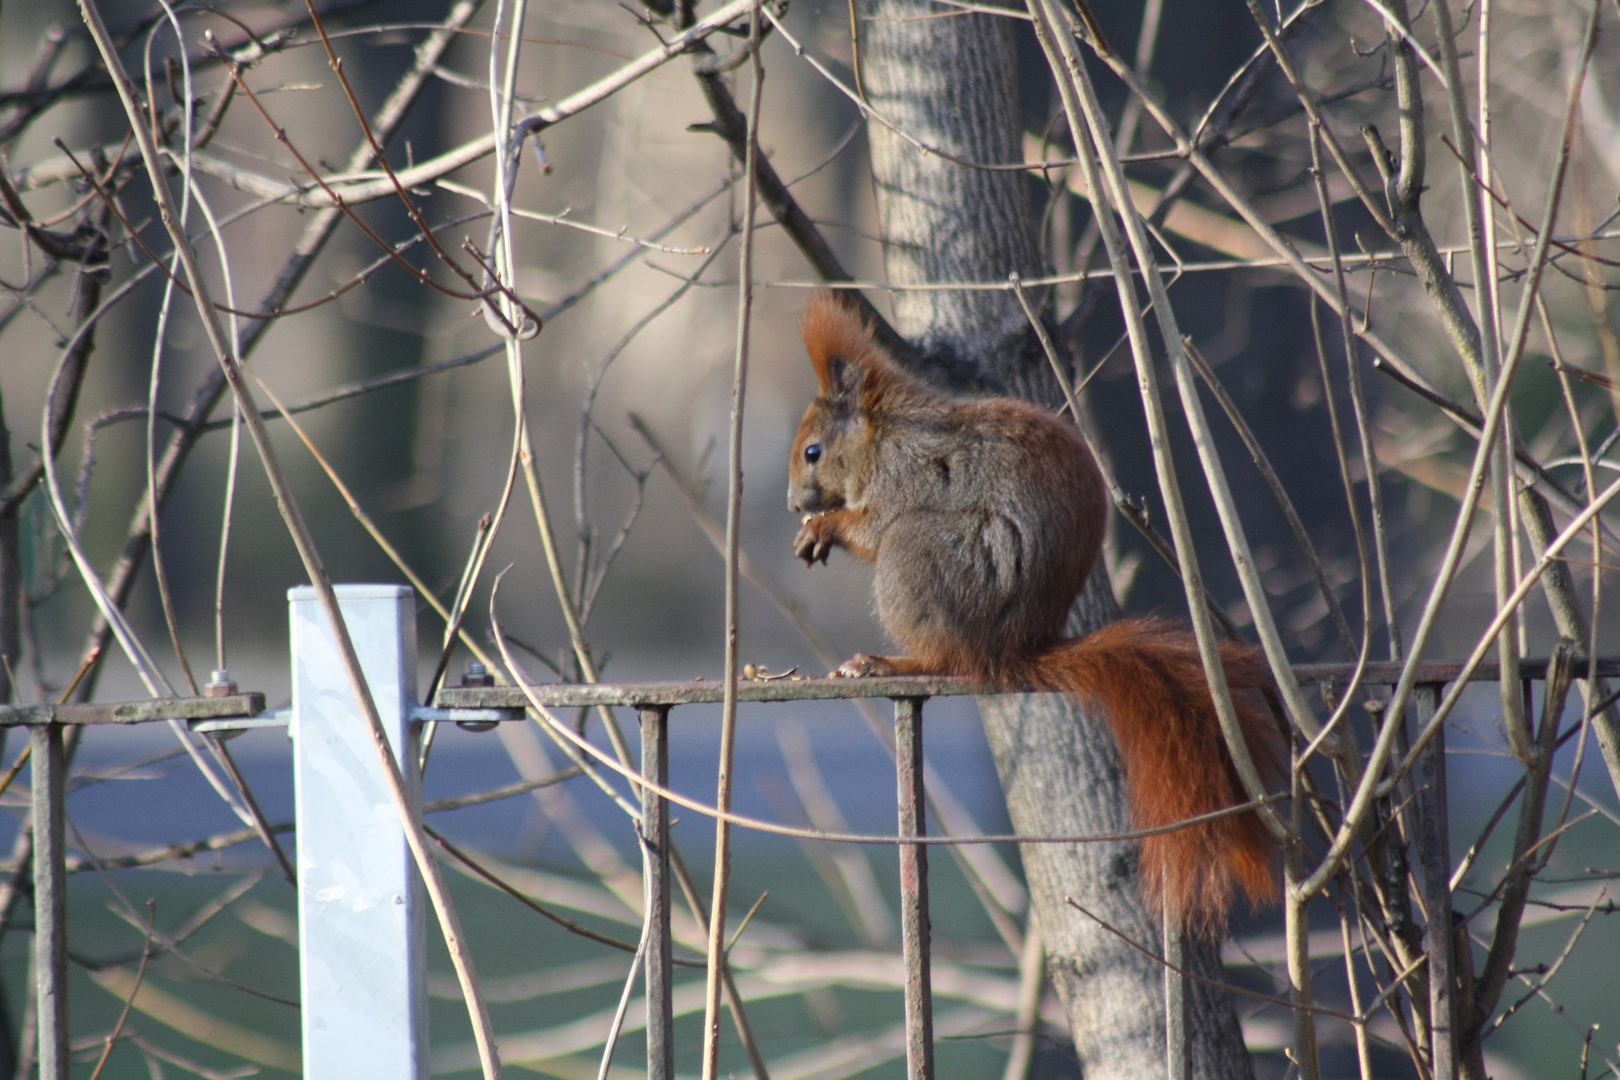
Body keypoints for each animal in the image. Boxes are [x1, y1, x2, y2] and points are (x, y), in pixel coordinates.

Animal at [784, 293, 1276, 932]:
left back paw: (888, 662)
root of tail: (1017, 646)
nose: (793, 504)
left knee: (949, 658)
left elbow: (868, 529)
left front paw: (826, 527)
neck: (883, 436)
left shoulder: (904, 480)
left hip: (921, 558)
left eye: (813, 452)